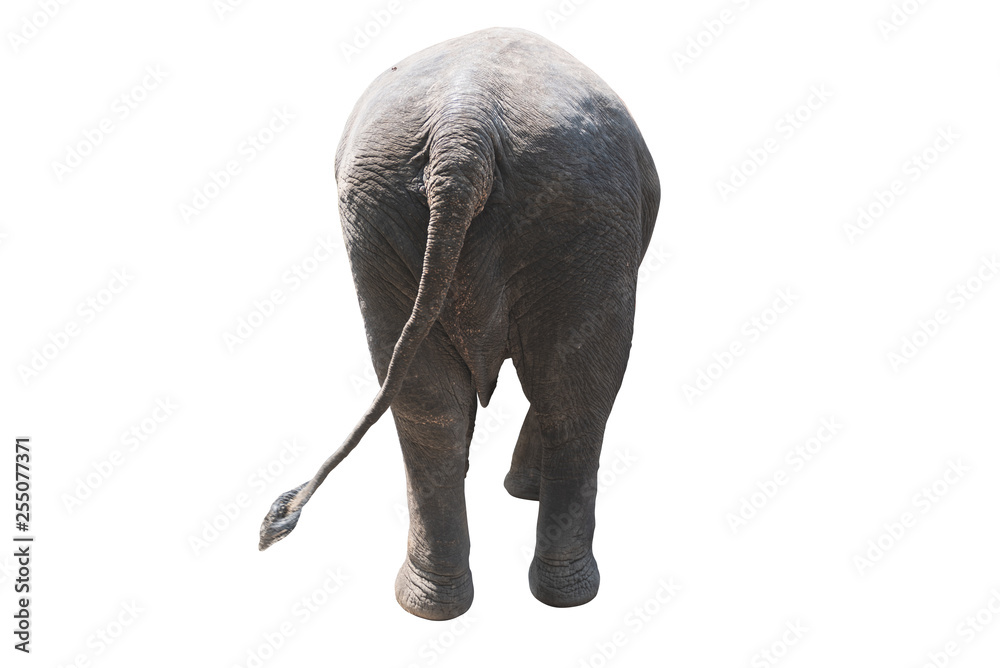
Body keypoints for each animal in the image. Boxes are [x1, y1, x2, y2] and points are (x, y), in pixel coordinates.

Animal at [260, 26, 660, 621]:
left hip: (398, 218)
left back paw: (447, 602)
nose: (271, 525)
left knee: (439, 404)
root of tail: (464, 129)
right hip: (578, 209)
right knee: (569, 399)